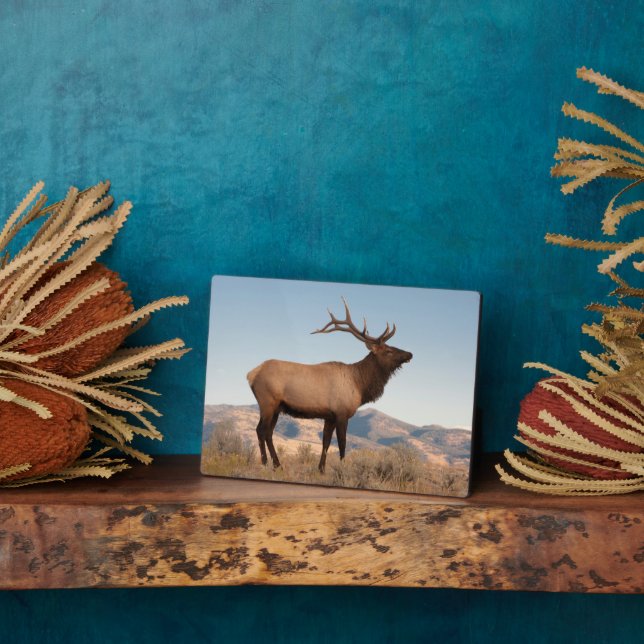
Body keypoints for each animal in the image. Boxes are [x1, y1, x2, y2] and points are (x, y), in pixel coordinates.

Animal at [246, 298, 413, 473]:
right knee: (261, 430)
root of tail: (251, 374)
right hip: (267, 402)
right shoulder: (341, 413)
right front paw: (343, 469)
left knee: (268, 432)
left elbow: (325, 442)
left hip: (277, 407)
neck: (360, 385)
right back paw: (267, 463)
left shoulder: (330, 416)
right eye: (388, 350)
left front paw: (321, 469)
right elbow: (342, 443)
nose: (410, 354)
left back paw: (276, 465)